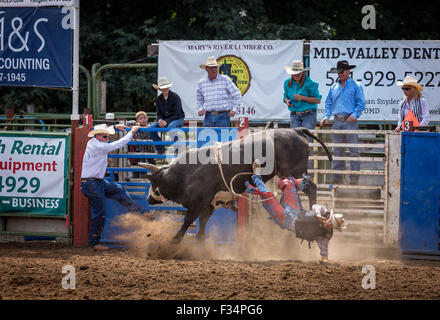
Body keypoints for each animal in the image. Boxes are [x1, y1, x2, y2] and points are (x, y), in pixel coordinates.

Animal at [138, 127, 330, 242]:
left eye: (153, 183)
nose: (148, 199)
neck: (187, 172)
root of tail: (295, 130)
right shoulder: (209, 205)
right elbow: (202, 223)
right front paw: (199, 242)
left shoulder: (199, 200)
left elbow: (188, 219)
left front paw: (174, 241)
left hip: (295, 172)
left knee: (310, 188)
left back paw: (312, 217)